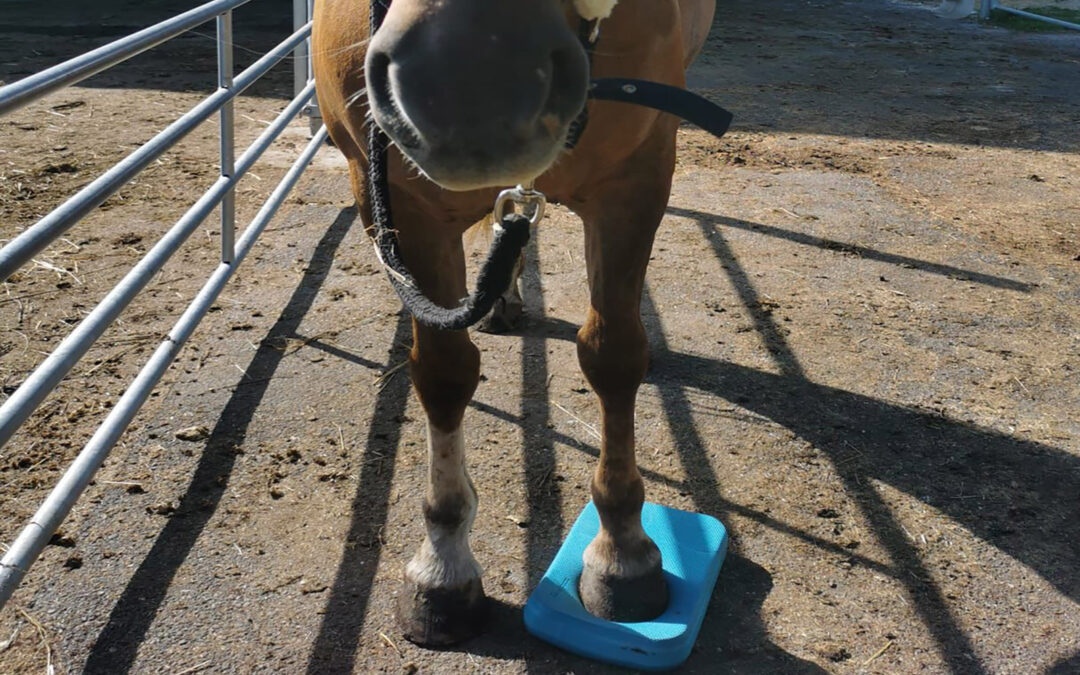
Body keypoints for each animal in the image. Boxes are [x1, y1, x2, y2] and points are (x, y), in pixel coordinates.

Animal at [313, 0, 717, 645]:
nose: (470, 83)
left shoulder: (635, 180)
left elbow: (612, 357)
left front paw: (622, 551)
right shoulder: (401, 204)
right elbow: (444, 374)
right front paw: (443, 566)